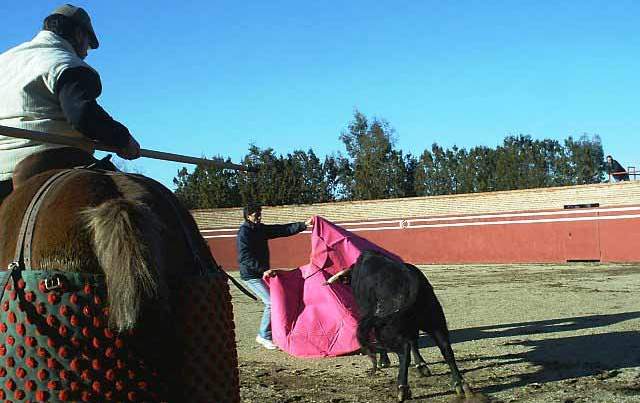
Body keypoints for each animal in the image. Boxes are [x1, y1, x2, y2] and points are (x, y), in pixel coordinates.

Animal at [328, 251, 488, 402]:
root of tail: (411, 283)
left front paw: (384, 362)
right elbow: (414, 342)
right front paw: (421, 366)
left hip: (388, 327)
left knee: (403, 351)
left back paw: (402, 388)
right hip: (435, 321)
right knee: (445, 348)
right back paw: (461, 385)